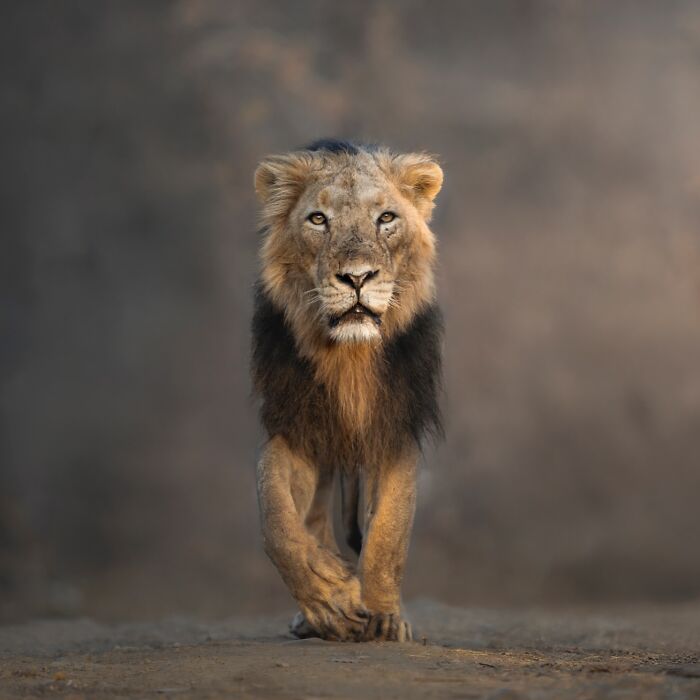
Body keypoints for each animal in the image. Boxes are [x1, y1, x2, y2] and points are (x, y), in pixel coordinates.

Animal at [252, 139, 443, 642]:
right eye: (319, 219)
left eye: (386, 218)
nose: (357, 278)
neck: (349, 357)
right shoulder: (294, 425)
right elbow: (276, 518)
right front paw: (329, 595)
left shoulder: (394, 426)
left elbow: (388, 532)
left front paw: (383, 616)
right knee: (314, 518)